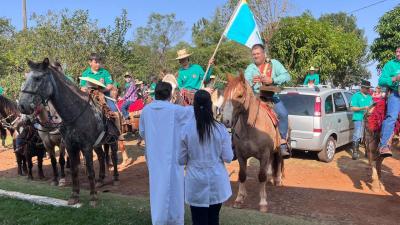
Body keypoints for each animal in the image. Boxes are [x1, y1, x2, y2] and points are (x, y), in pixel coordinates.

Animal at [19, 58, 119, 206]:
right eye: (25, 79)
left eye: (37, 78)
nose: (22, 106)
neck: (75, 114)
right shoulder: (71, 146)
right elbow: (74, 170)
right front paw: (74, 196)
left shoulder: (85, 147)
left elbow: (90, 171)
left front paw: (93, 197)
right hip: (97, 144)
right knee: (101, 157)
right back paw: (100, 180)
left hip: (113, 141)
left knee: (113, 156)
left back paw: (116, 178)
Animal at [222, 72, 284, 213]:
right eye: (225, 93)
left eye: (239, 95)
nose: (226, 121)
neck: (251, 129)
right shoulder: (241, 155)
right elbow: (242, 175)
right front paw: (239, 199)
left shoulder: (265, 154)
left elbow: (261, 176)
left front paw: (263, 203)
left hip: (277, 148)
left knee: (278, 160)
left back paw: (277, 179)